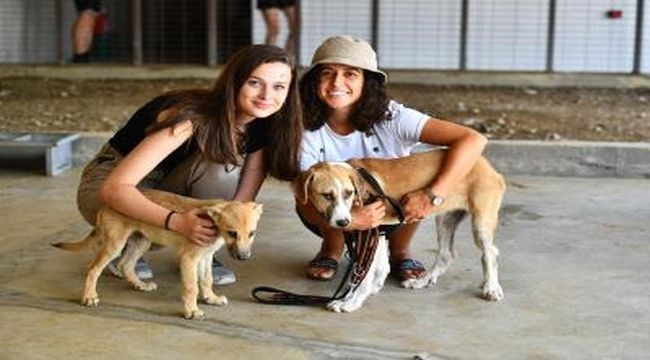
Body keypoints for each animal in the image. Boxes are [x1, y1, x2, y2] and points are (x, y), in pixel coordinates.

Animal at [52, 190, 260, 320]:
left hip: (141, 240)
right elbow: (191, 287)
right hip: (115, 244)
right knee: (93, 268)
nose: (244, 257)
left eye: (252, 233)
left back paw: (140, 285)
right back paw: (89, 296)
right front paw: (192, 311)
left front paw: (211, 298)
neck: (212, 224)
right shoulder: (189, 259)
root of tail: (105, 205)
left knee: (125, 265)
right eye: (232, 233)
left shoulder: (205, 257)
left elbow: (207, 280)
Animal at [294, 149, 506, 312]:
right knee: (447, 254)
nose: (343, 222)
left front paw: (351, 302)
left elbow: (364, 275)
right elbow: (378, 266)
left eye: (348, 193)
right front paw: (369, 289)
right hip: (446, 219)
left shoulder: (370, 232)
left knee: (490, 252)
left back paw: (491, 287)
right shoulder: (376, 232)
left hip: (481, 222)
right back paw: (421, 281)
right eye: (326, 195)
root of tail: (486, 165)